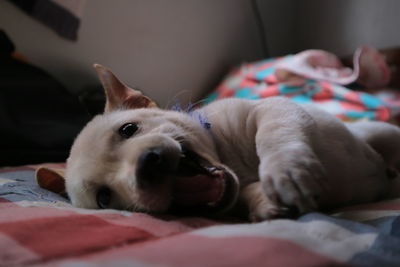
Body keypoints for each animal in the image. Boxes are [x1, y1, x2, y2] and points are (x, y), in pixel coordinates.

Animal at [63, 65, 400, 222]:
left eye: (128, 129)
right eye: (104, 198)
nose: (148, 166)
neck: (229, 160)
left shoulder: (273, 109)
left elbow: (273, 133)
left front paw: (287, 169)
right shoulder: (235, 194)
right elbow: (247, 193)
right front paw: (265, 203)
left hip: (381, 133)